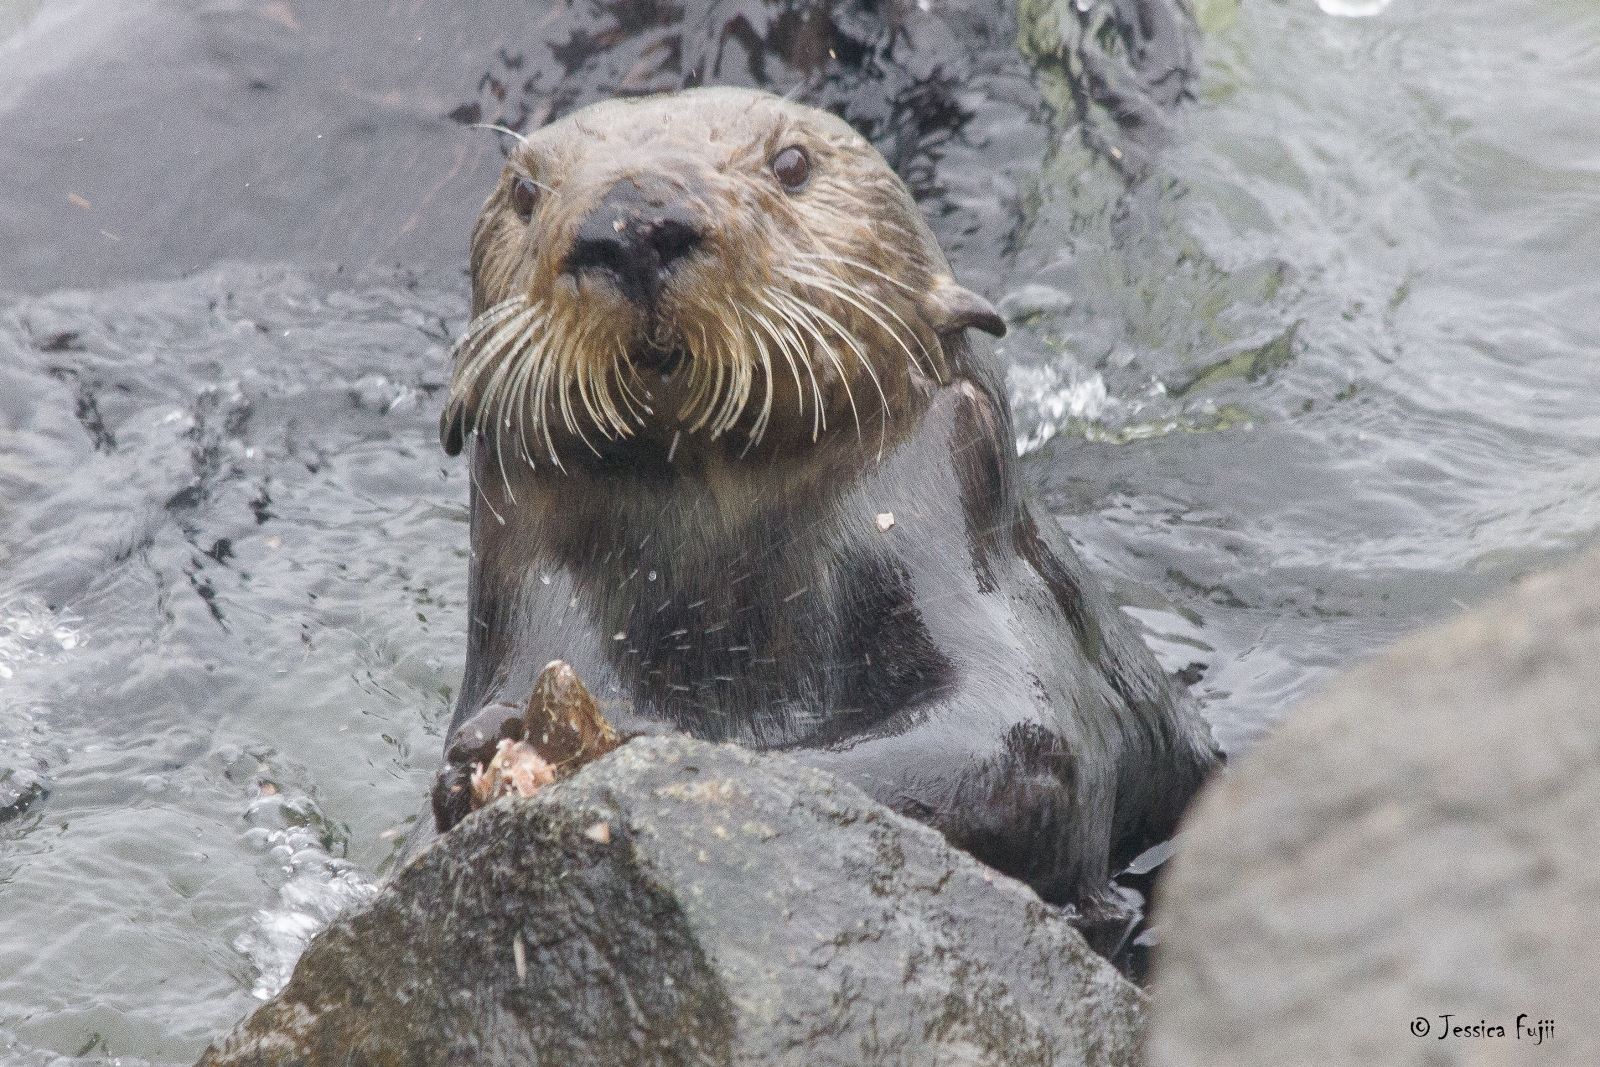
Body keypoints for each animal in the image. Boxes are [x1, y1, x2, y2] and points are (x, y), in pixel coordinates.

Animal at [431, 86, 1221, 934]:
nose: (634, 222)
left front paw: (611, 745)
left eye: (792, 163)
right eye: (523, 192)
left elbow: (1020, 751)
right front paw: (486, 752)